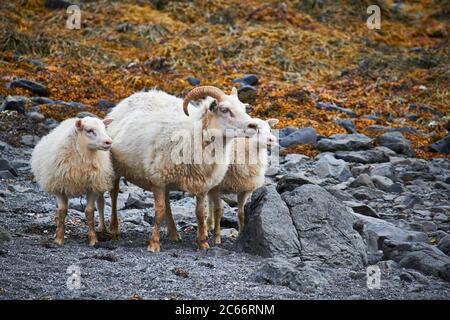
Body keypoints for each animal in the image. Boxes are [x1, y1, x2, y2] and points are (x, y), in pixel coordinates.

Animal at [30, 116, 114, 246]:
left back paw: (102, 228)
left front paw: (93, 238)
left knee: (101, 204)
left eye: (105, 128)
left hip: (100, 183)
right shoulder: (59, 187)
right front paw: (59, 238)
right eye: (89, 131)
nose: (108, 142)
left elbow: (89, 212)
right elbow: (62, 211)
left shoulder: (92, 187)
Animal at [103, 86, 256, 251]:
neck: (194, 134)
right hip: (116, 166)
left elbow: (200, 213)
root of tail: (134, 96)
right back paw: (114, 229)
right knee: (114, 195)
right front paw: (154, 243)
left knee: (167, 203)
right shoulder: (157, 180)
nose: (254, 126)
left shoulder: (202, 184)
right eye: (224, 109)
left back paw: (174, 233)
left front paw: (202, 242)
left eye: (243, 108)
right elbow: (159, 211)